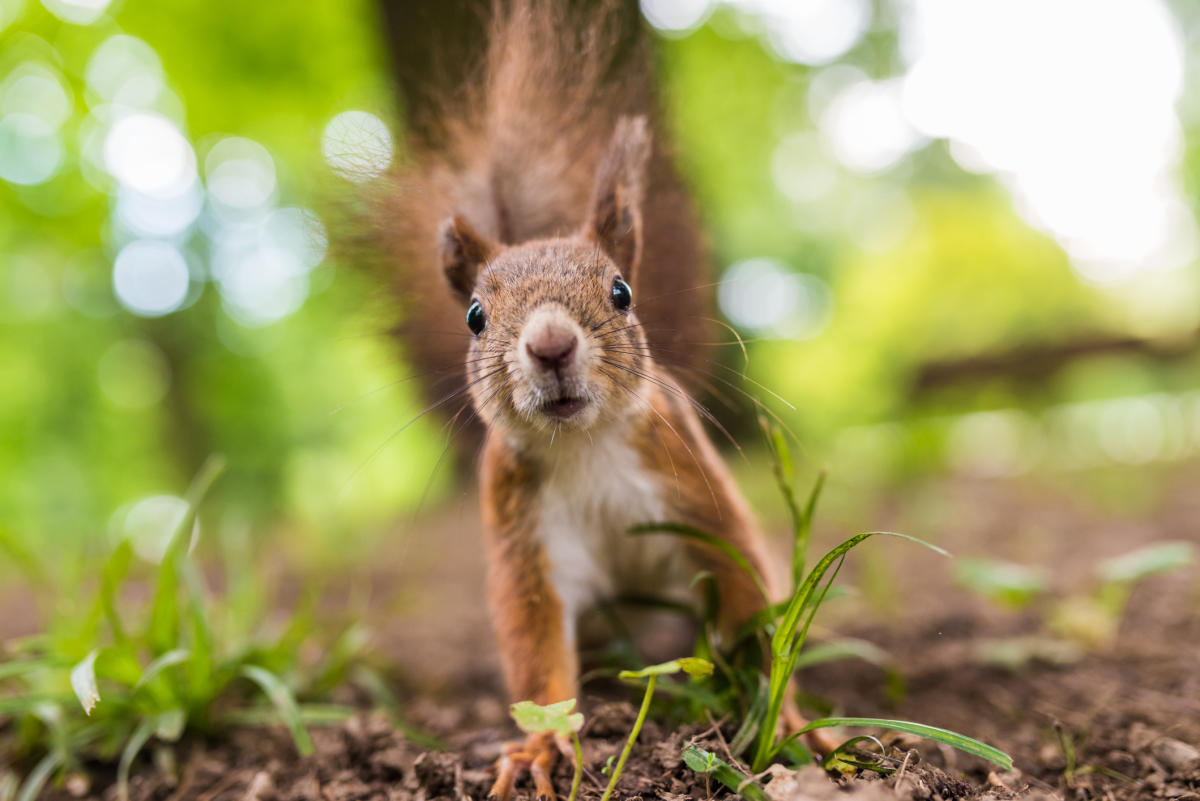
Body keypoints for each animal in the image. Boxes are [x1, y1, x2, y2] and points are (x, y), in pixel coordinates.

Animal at [372, 3, 825, 796]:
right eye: (475, 316)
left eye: (621, 290)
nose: (551, 345)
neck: (582, 446)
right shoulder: (527, 543)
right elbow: (536, 653)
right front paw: (535, 749)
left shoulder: (694, 493)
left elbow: (749, 604)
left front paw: (793, 721)